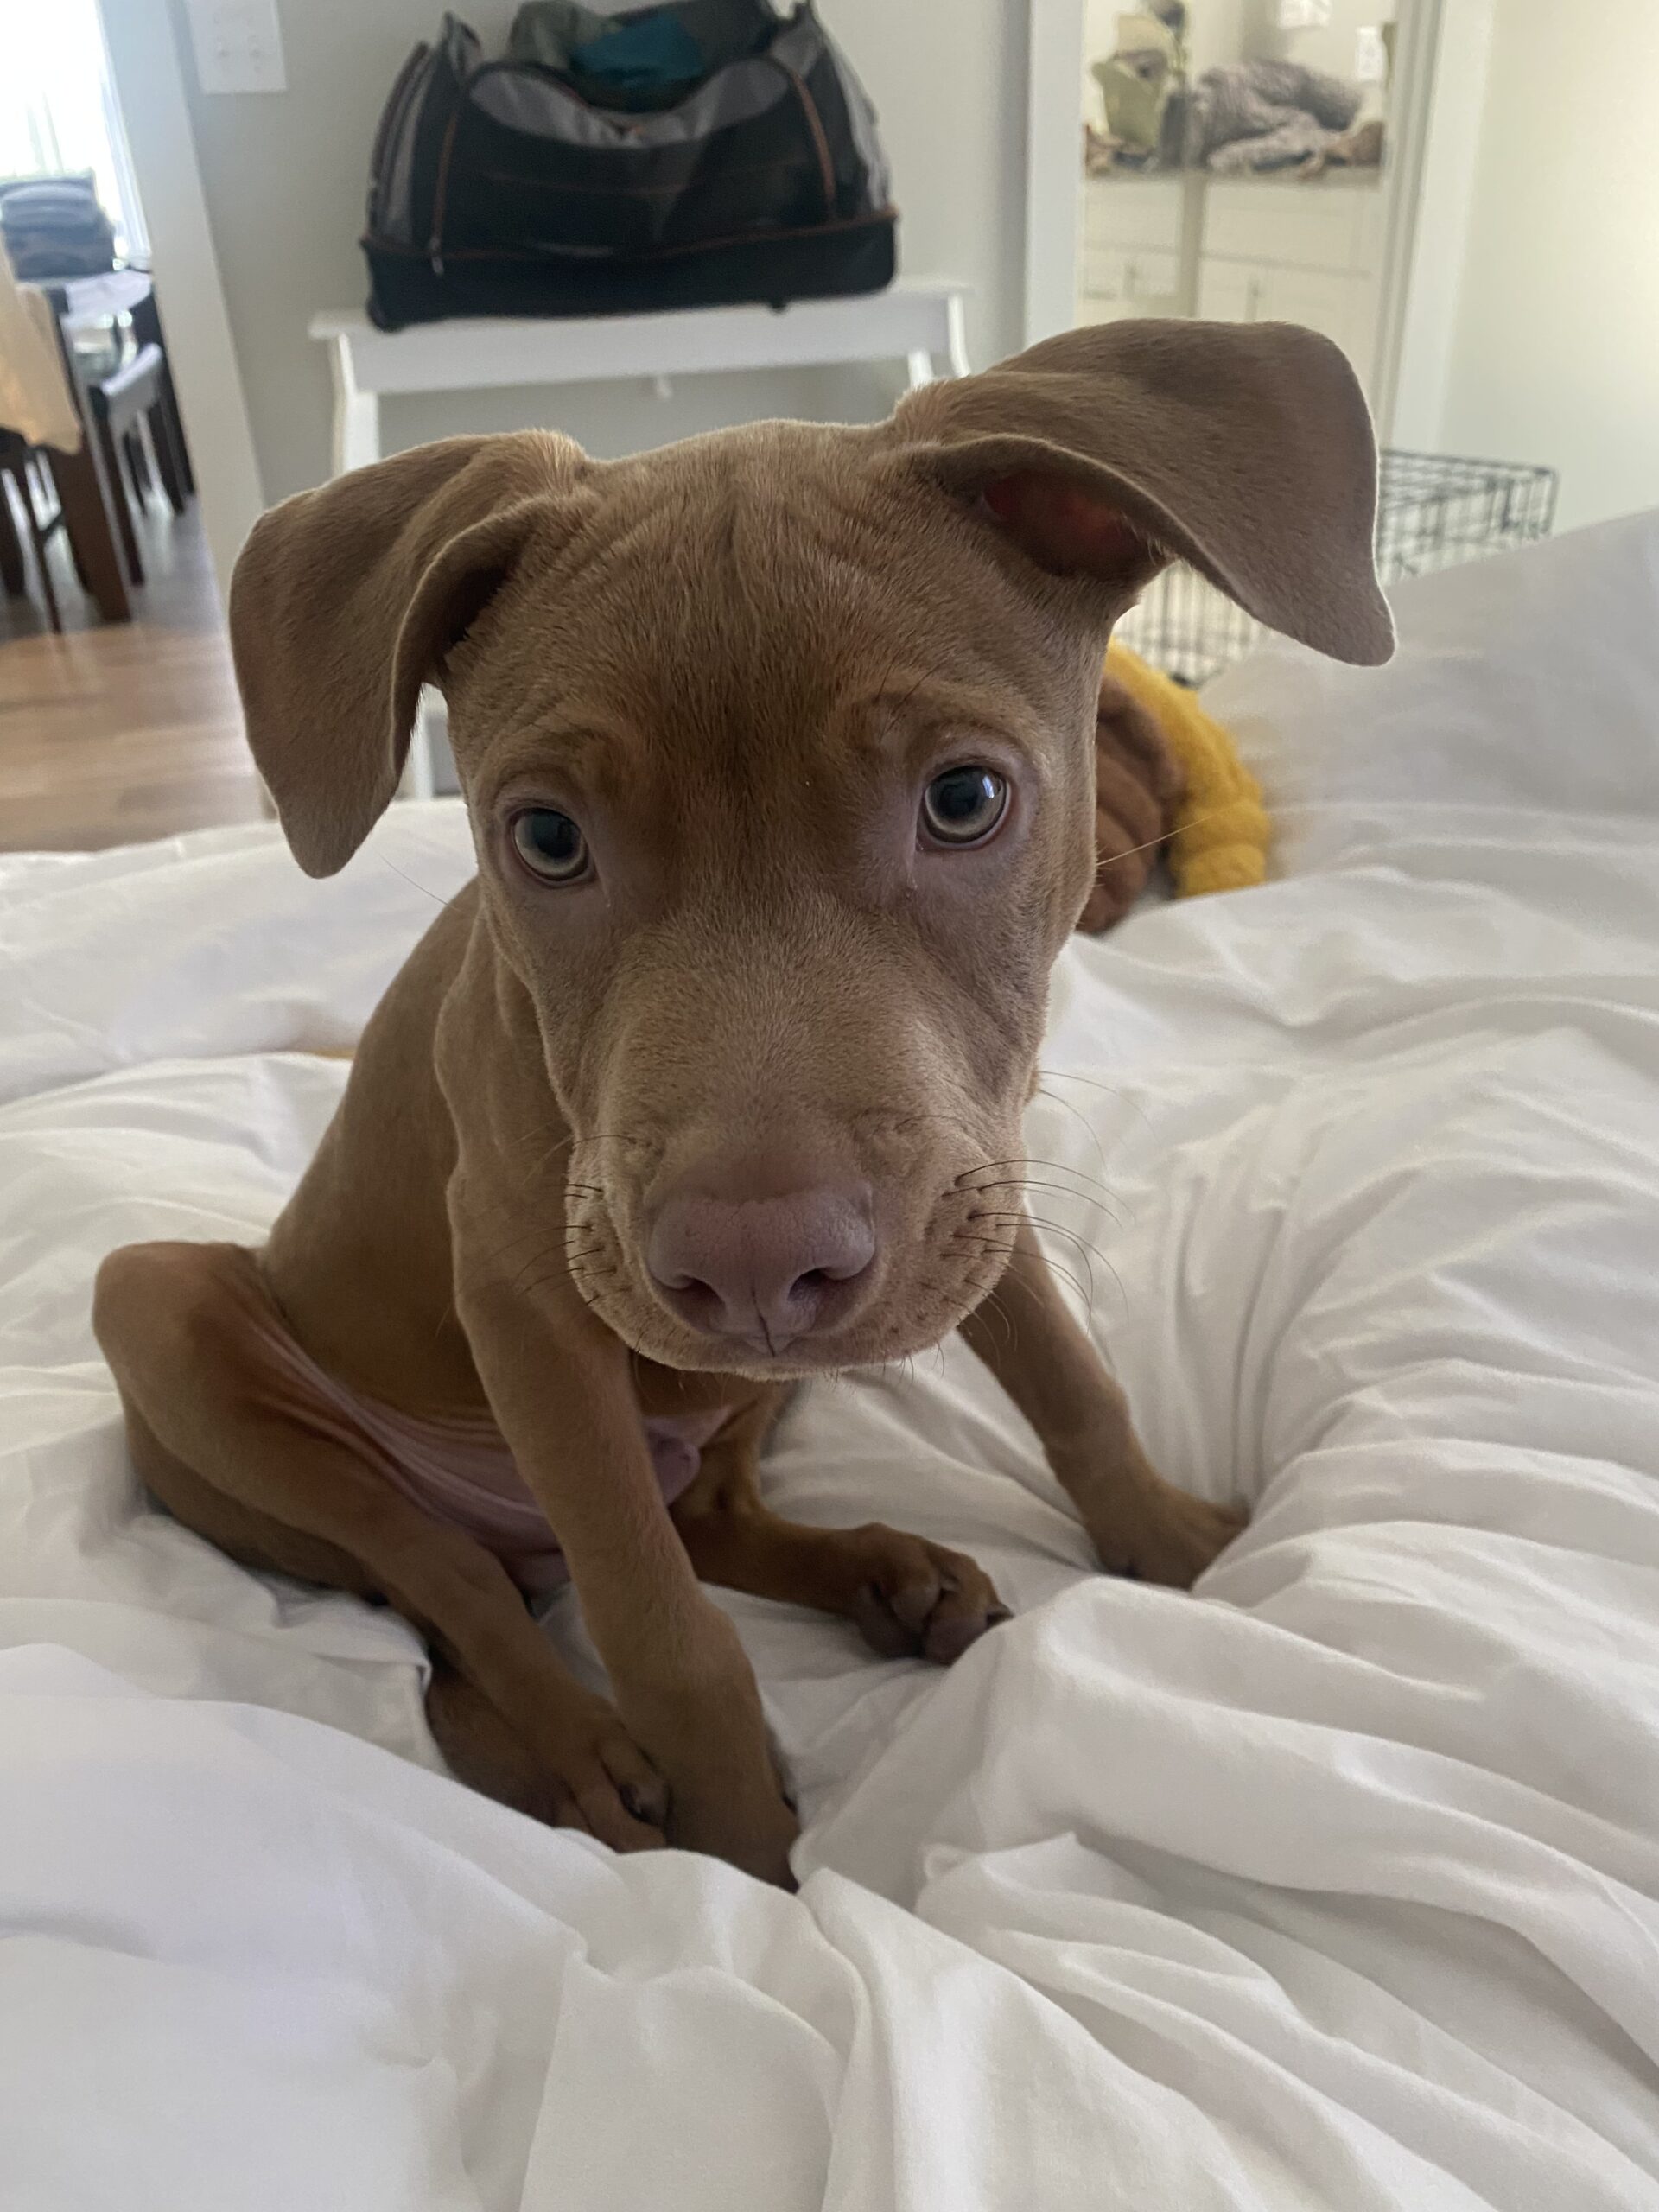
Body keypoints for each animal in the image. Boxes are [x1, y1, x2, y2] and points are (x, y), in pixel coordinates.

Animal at [93, 320, 1390, 1885]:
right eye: (544, 837)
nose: (757, 1272)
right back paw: (587, 1758)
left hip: (741, 1397)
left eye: (965, 800)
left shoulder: (970, 1182)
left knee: (696, 1522)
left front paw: (1175, 1551)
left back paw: (885, 1573)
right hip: (166, 1314)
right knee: (454, 1580)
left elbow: (1072, 1379)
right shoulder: (523, 1301)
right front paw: (736, 1859)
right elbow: (666, 1636)